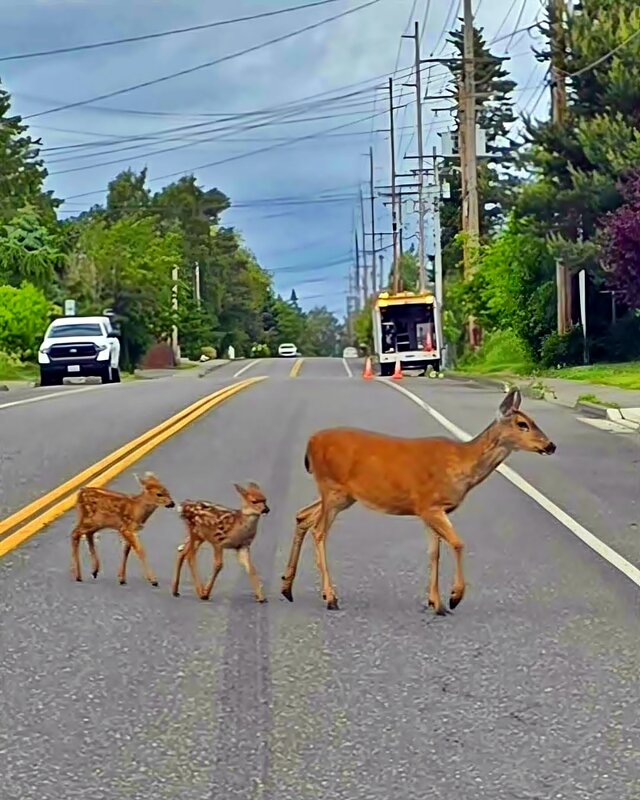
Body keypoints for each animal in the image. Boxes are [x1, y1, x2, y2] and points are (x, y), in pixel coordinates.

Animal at [280, 388, 556, 612]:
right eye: (522, 423)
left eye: (534, 421)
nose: (551, 445)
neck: (462, 464)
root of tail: (309, 443)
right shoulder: (429, 505)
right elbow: (458, 544)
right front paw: (454, 597)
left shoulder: (430, 511)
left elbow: (434, 552)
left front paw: (436, 602)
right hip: (332, 488)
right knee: (319, 531)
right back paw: (330, 597)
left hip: (343, 496)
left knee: (303, 515)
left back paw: (287, 588)